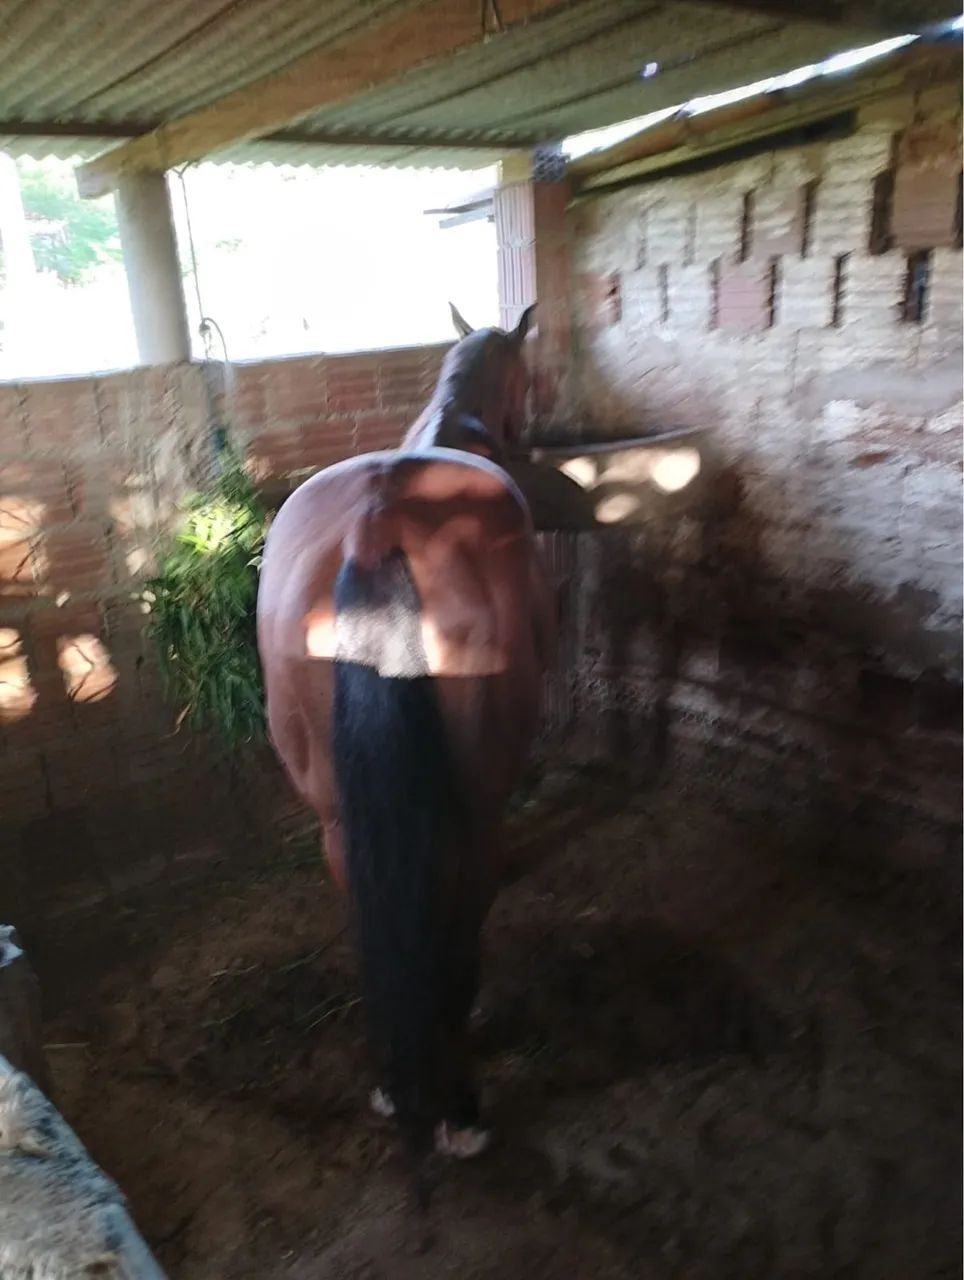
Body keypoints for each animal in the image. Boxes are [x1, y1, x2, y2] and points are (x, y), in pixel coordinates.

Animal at [256, 302, 553, 1204]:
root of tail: (376, 527)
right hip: (476, 808)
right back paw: (458, 1105)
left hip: (336, 819)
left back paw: (396, 1079)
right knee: (457, 920)